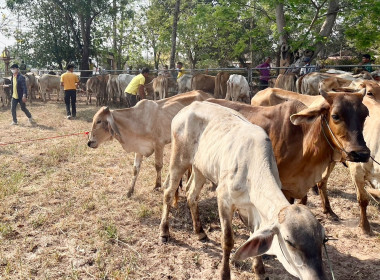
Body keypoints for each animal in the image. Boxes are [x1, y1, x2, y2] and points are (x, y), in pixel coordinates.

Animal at [160, 101, 326, 280]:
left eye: (323, 240)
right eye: (289, 242)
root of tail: (189, 106)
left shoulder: (253, 210)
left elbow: (254, 236)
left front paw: (259, 270)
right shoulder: (224, 200)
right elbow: (227, 240)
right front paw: (225, 273)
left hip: (200, 168)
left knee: (191, 195)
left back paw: (200, 232)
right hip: (179, 159)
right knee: (168, 191)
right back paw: (164, 231)